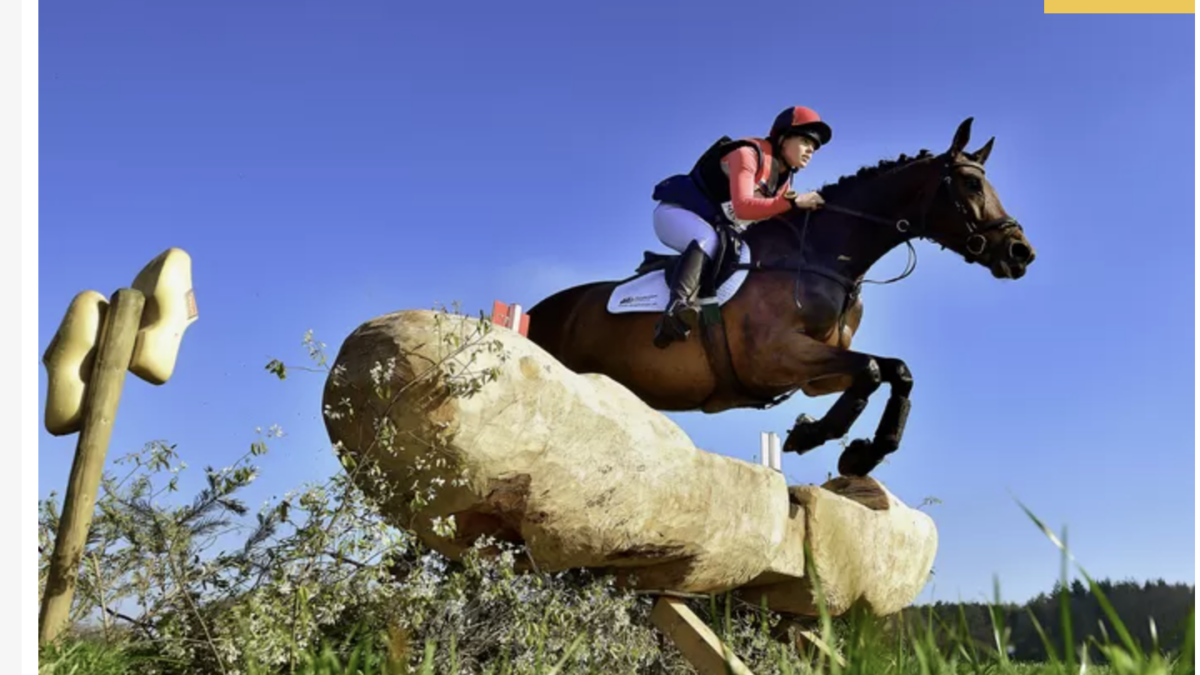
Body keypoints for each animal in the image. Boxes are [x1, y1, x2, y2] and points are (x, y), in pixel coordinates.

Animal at [523, 117, 1032, 473]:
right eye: (971, 183)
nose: (1021, 252)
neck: (821, 255)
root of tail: (536, 311)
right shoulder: (772, 357)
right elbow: (870, 370)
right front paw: (812, 435)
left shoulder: (815, 373)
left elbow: (894, 371)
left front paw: (861, 453)